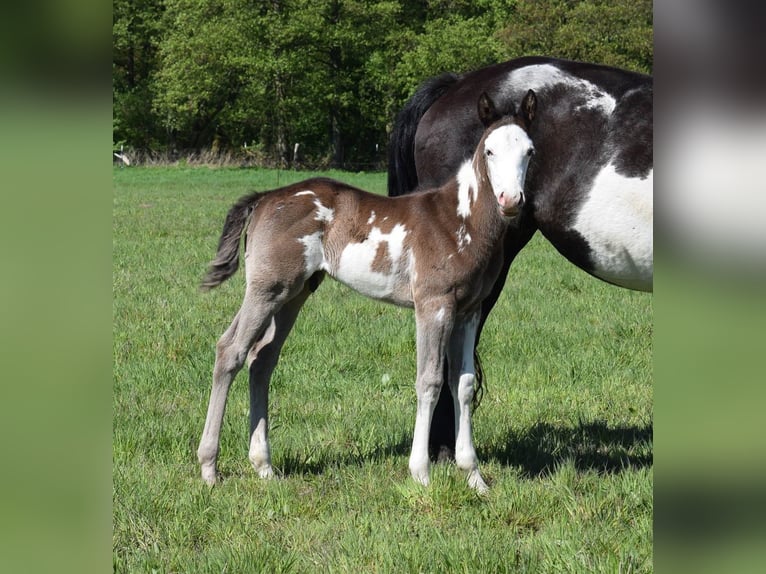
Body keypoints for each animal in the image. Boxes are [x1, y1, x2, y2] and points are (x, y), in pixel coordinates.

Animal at [196, 89, 538, 492]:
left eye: (529, 150)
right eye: (489, 151)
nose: (510, 200)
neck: (459, 220)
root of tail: (265, 198)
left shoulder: (469, 310)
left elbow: (464, 383)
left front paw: (474, 476)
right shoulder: (433, 304)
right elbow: (430, 380)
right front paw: (420, 473)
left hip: (294, 294)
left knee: (262, 359)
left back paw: (264, 465)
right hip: (266, 288)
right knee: (230, 351)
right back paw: (209, 468)